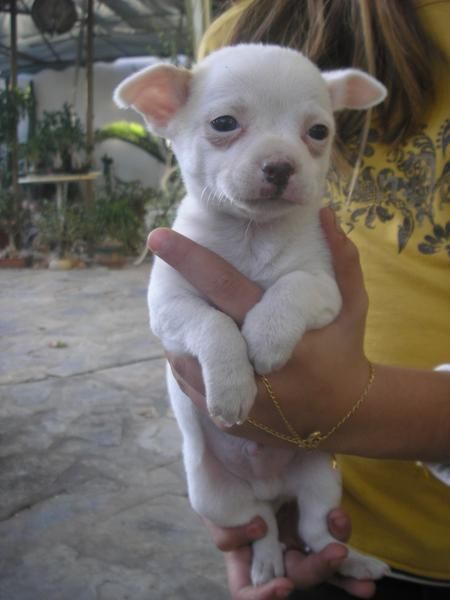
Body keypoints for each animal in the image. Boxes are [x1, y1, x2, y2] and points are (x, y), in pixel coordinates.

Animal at [116, 43, 390, 584]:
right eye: (224, 123)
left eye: (318, 132)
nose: (280, 165)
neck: (250, 235)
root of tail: (269, 487)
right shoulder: (169, 307)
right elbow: (215, 323)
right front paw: (231, 387)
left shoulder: (324, 287)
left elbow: (289, 288)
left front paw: (265, 337)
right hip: (216, 498)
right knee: (262, 525)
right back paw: (266, 564)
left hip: (321, 478)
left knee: (314, 531)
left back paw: (354, 560)